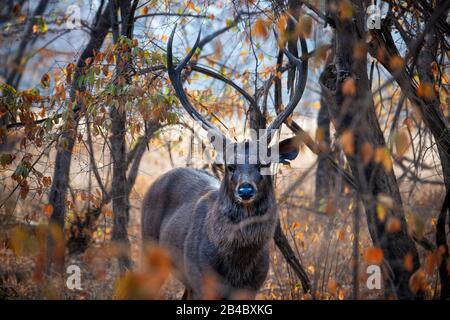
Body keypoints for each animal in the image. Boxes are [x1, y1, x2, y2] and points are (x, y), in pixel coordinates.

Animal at [142, 25, 308, 300]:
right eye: (230, 166)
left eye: (263, 164)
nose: (245, 190)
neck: (236, 266)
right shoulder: (202, 281)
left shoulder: (252, 287)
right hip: (150, 249)